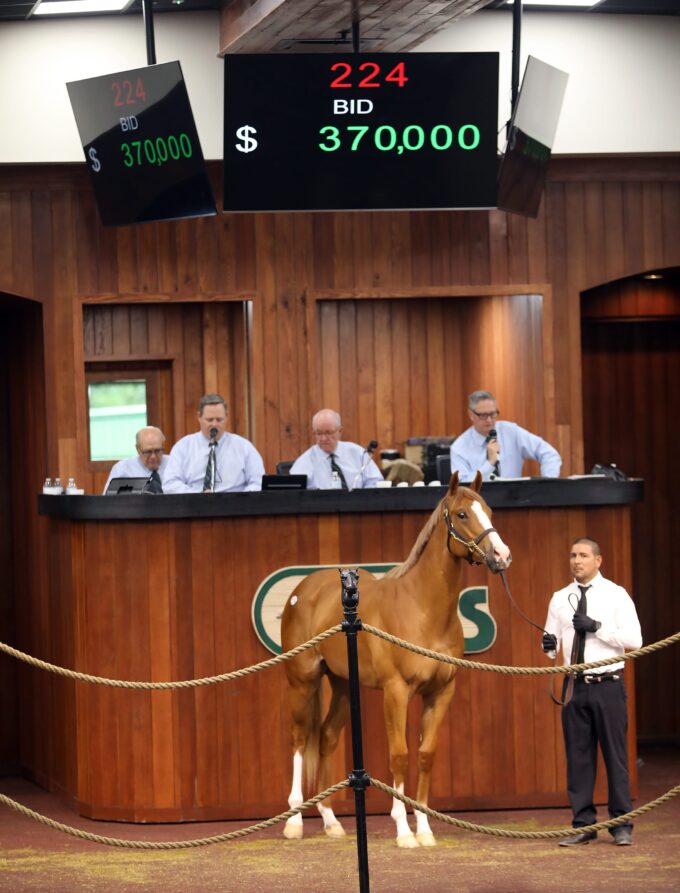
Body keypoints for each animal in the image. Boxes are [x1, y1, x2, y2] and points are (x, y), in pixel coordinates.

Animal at [280, 470, 510, 848]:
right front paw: (403, 830)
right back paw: (295, 822)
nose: (502, 555)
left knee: (326, 737)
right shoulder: (396, 691)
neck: (422, 609)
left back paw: (330, 821)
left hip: (343, 685)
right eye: (462, 514)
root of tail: (302, 591)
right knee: (299, 741)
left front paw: (425, 829)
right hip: (303, 682)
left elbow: (426, 756)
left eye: (489, 511)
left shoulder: (441, 693)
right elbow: (399, 756)